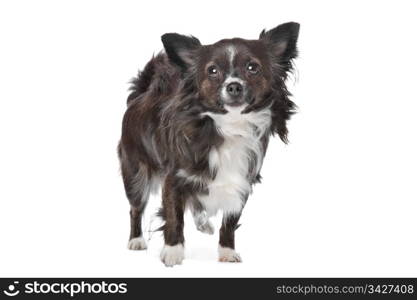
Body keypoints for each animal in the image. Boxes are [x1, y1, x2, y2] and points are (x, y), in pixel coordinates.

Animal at [117, 21, 300, 266]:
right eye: (212, 71)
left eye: (253, 67)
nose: (234, 86)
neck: (229, 126)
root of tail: (141, 94)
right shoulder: (173, 179)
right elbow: (174, 217)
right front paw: (173, 251)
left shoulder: (240, 182)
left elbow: (229, 222)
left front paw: (227, 251)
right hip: (136, 176)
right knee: (136, 209)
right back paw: (136, 240)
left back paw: (203, 223)